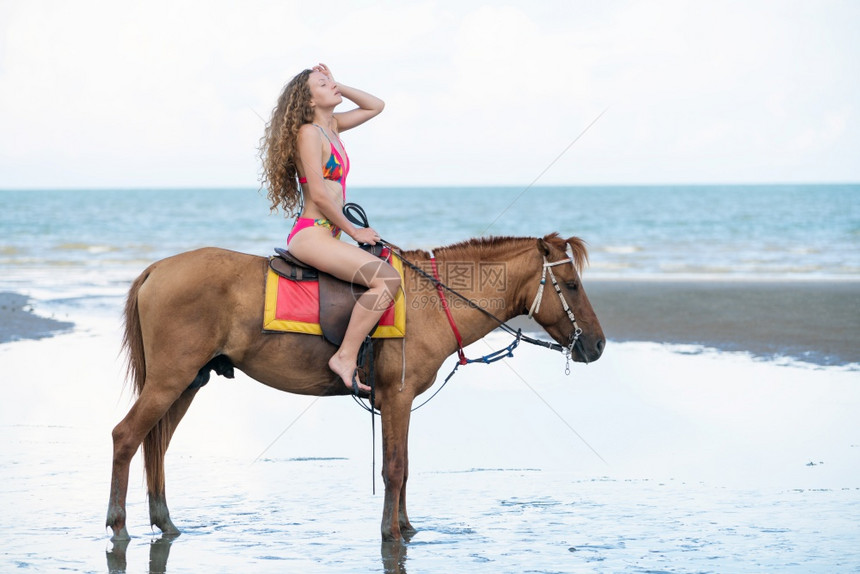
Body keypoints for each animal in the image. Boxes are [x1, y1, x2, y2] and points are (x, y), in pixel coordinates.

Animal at [106, 232, 604, 544]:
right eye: (571, 285)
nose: (597, 345)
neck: (430, 300)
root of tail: (156, 270)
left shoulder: (399, 403)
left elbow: (405, 466)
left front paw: (407, 526)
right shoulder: (396, 398)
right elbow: (395, 469)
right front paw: (392, 533)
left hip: (187, 382)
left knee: (155, 445)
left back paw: (165, 523)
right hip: (170, 380)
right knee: (126, 437)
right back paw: (119, 524)